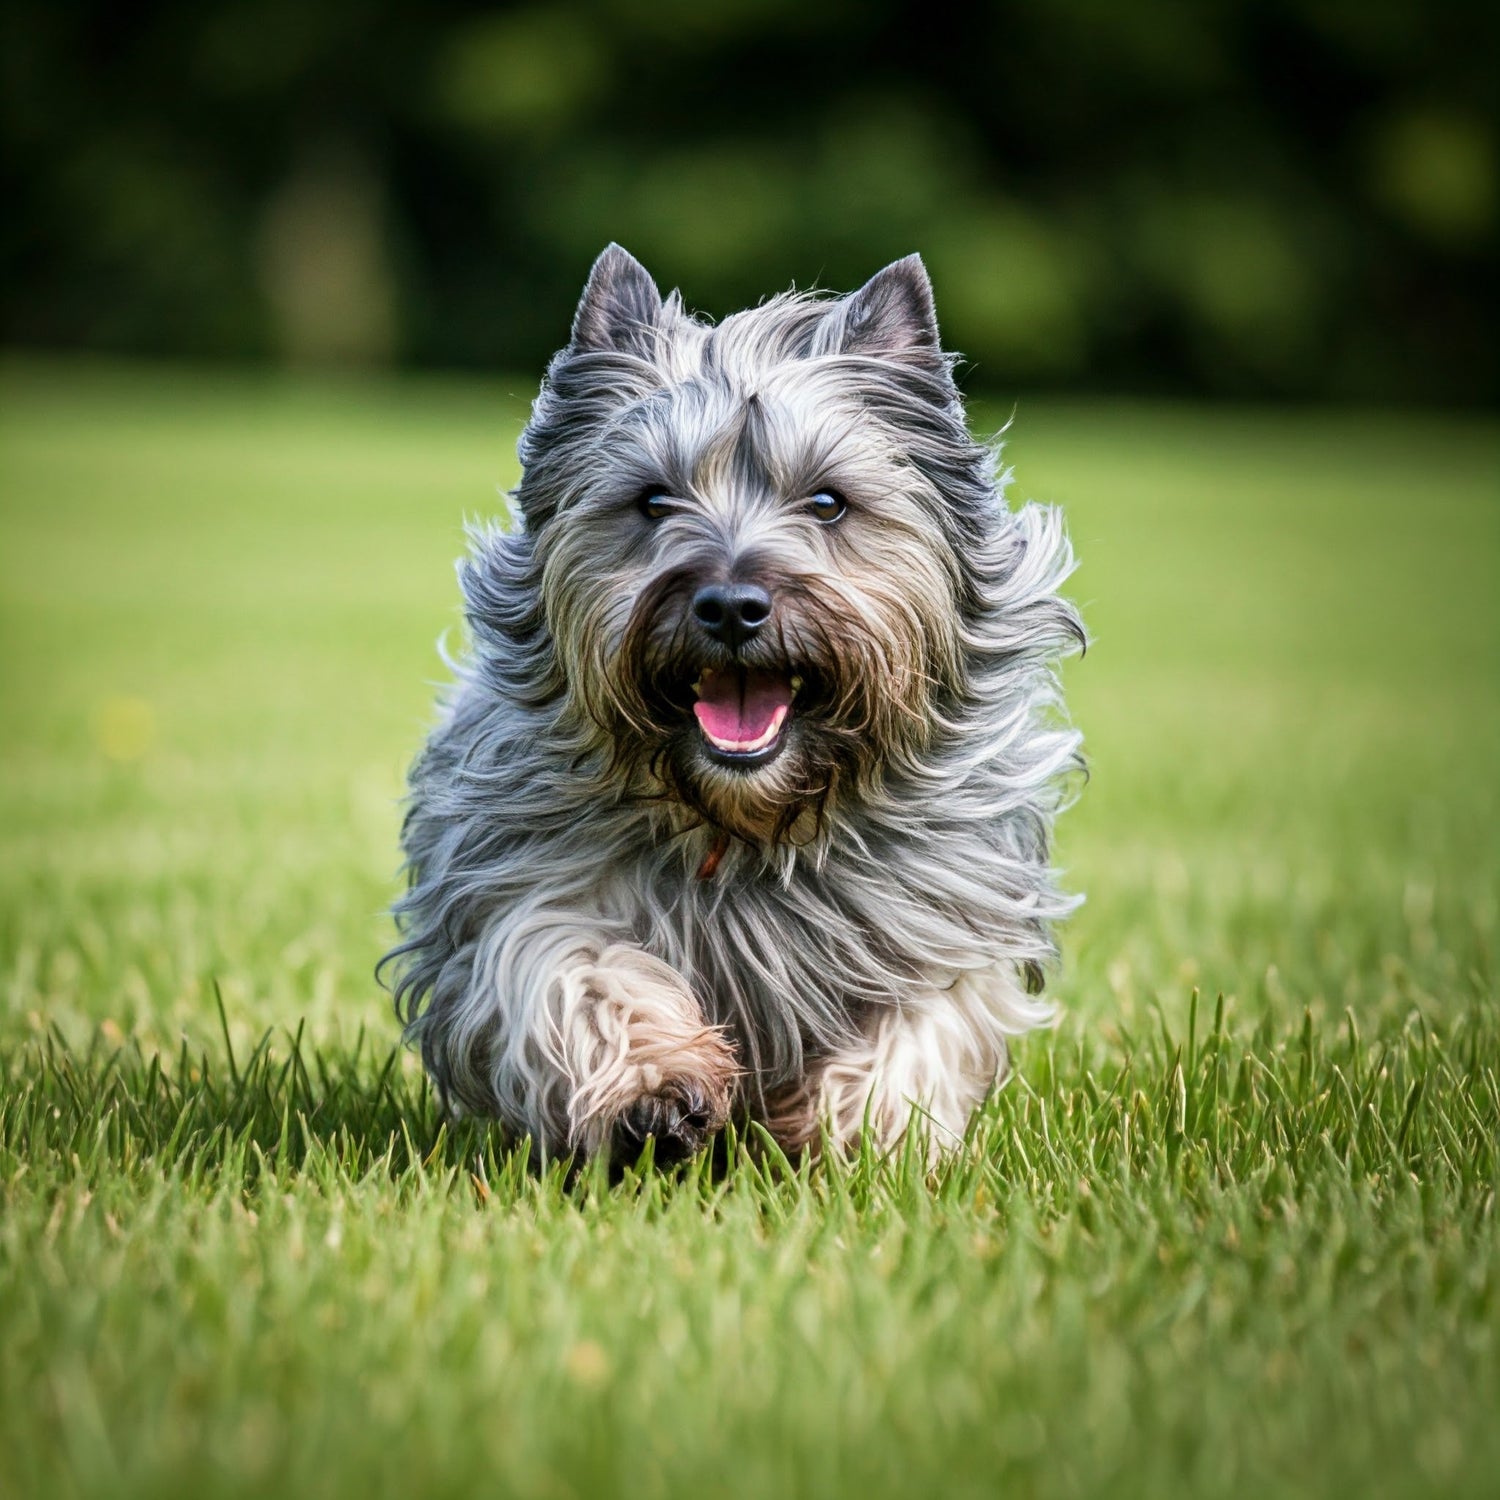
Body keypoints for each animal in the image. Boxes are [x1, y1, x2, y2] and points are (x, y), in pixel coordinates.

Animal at [381, 246, 1086, 1164]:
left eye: (828, 501)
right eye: (652, 500)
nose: (729, 606)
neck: (745, 826)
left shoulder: (947, 912)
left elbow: (925, 1019)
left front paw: (864, 1136)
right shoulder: (519, 885)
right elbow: (574, 968)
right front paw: (654, 1089)